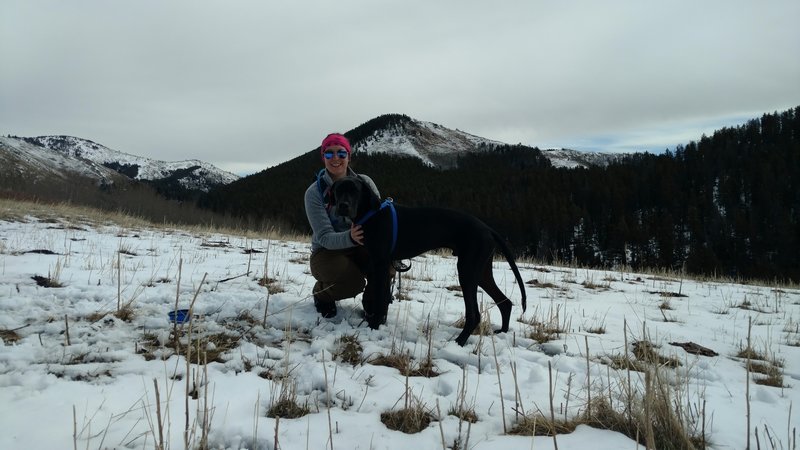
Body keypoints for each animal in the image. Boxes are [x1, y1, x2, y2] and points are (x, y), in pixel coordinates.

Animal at [330, 175, 524, 344]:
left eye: (355, 191)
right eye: (338, 190)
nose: (343, 206)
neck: (371, 213)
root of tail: (487, 229)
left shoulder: (381, 264)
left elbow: (380, 298)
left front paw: (373, 325)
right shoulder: (383, 265)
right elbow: (383, 297)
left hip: (467, 271)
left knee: (475, 314)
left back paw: (459, 342)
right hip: (481, 272)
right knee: (505, 302)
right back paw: (502, 332)